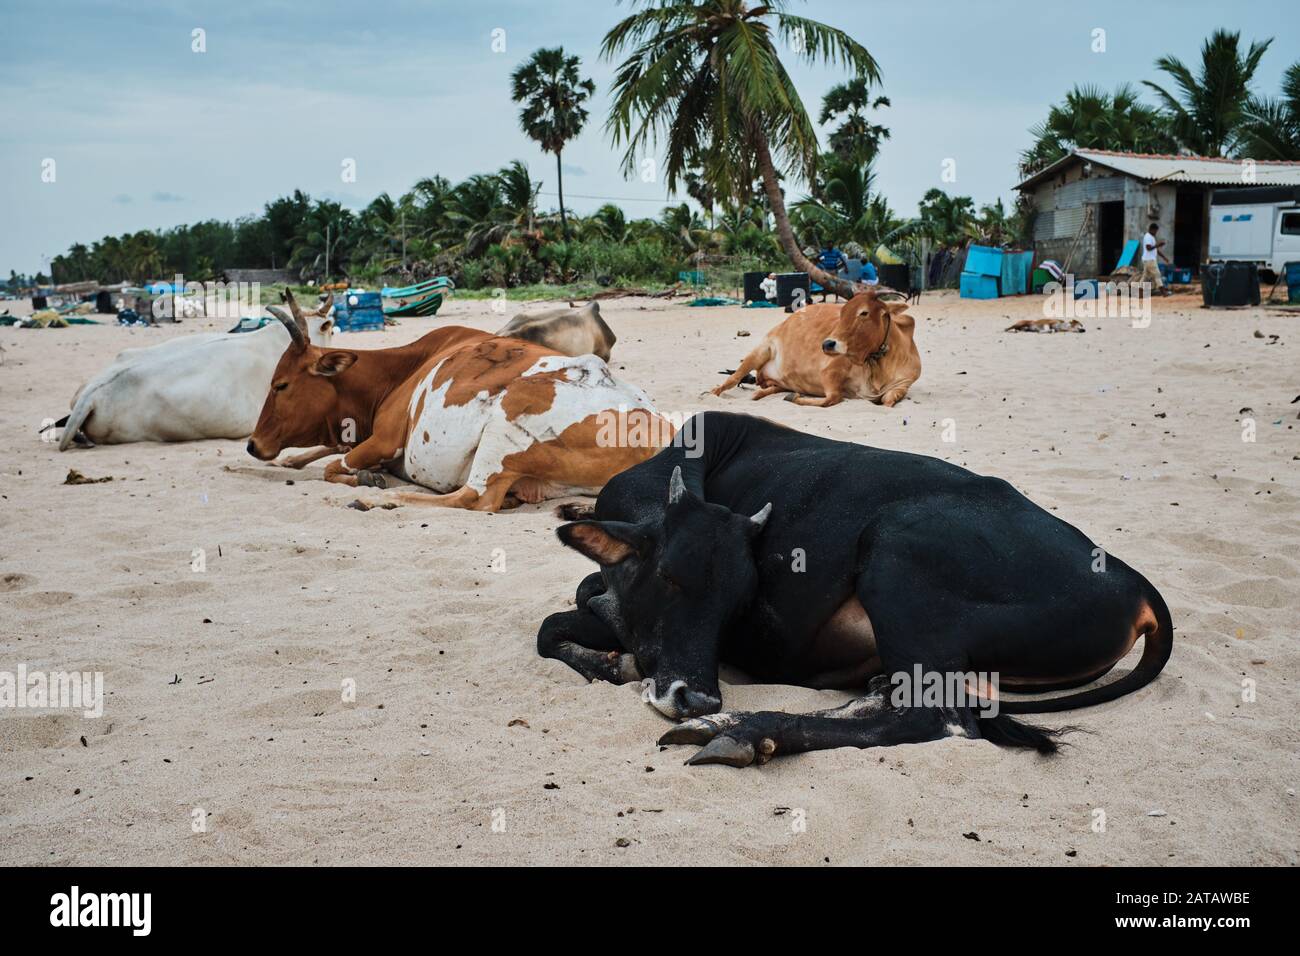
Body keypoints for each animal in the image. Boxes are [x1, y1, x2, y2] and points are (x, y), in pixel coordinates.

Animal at [245, 317, 674, 511]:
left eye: (280, 385)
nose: (252, 445)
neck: (401, 369)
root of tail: (660, 429)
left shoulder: (384, 439)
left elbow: (337, 467)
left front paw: (367, 480)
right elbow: (327, 455)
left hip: (508, 419)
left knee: (474, 498)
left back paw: (384, 498)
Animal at [536, 411, 1173, 767]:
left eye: (738, 604)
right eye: (669, 574)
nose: (698, 697)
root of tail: (1131, 580)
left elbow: (556, 623)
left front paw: (616, 660)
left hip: (895, 554)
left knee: (935, 718)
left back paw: (739, 732)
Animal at [711, 290, 921, 407]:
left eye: (864, 313)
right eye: (842, 312)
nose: (827, 344)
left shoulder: (902, 385)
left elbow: (887, 402)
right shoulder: (829, 372)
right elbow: (832, 398)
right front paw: (794, 399)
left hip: (777, 379)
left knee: (773, 387)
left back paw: (760, 393)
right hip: (762, 349)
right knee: (733, 378)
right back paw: (713, 392)